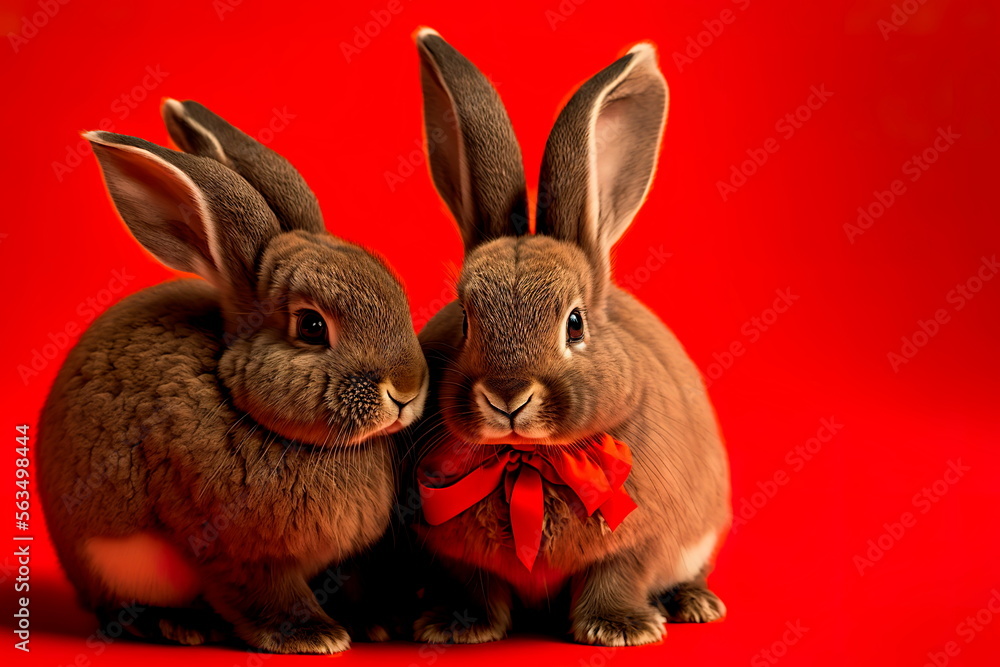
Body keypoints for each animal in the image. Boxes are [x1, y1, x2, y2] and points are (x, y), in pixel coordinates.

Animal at [37, 99, 428, 654]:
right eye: (312, 326)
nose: (407, 390)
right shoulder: (228, 545)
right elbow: (261, 590)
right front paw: (314, 635)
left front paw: (378, 622)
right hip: (112, 560)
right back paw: (181, 625)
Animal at [408, 29, 731, 647]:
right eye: (465, 319)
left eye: (575, 322)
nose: (507, 397)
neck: (528, 463)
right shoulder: (458, 557)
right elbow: (477, 587)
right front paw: (457, 629)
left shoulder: (639, 541)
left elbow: (615, 576)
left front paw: (622, 629)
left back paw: (697, 605)